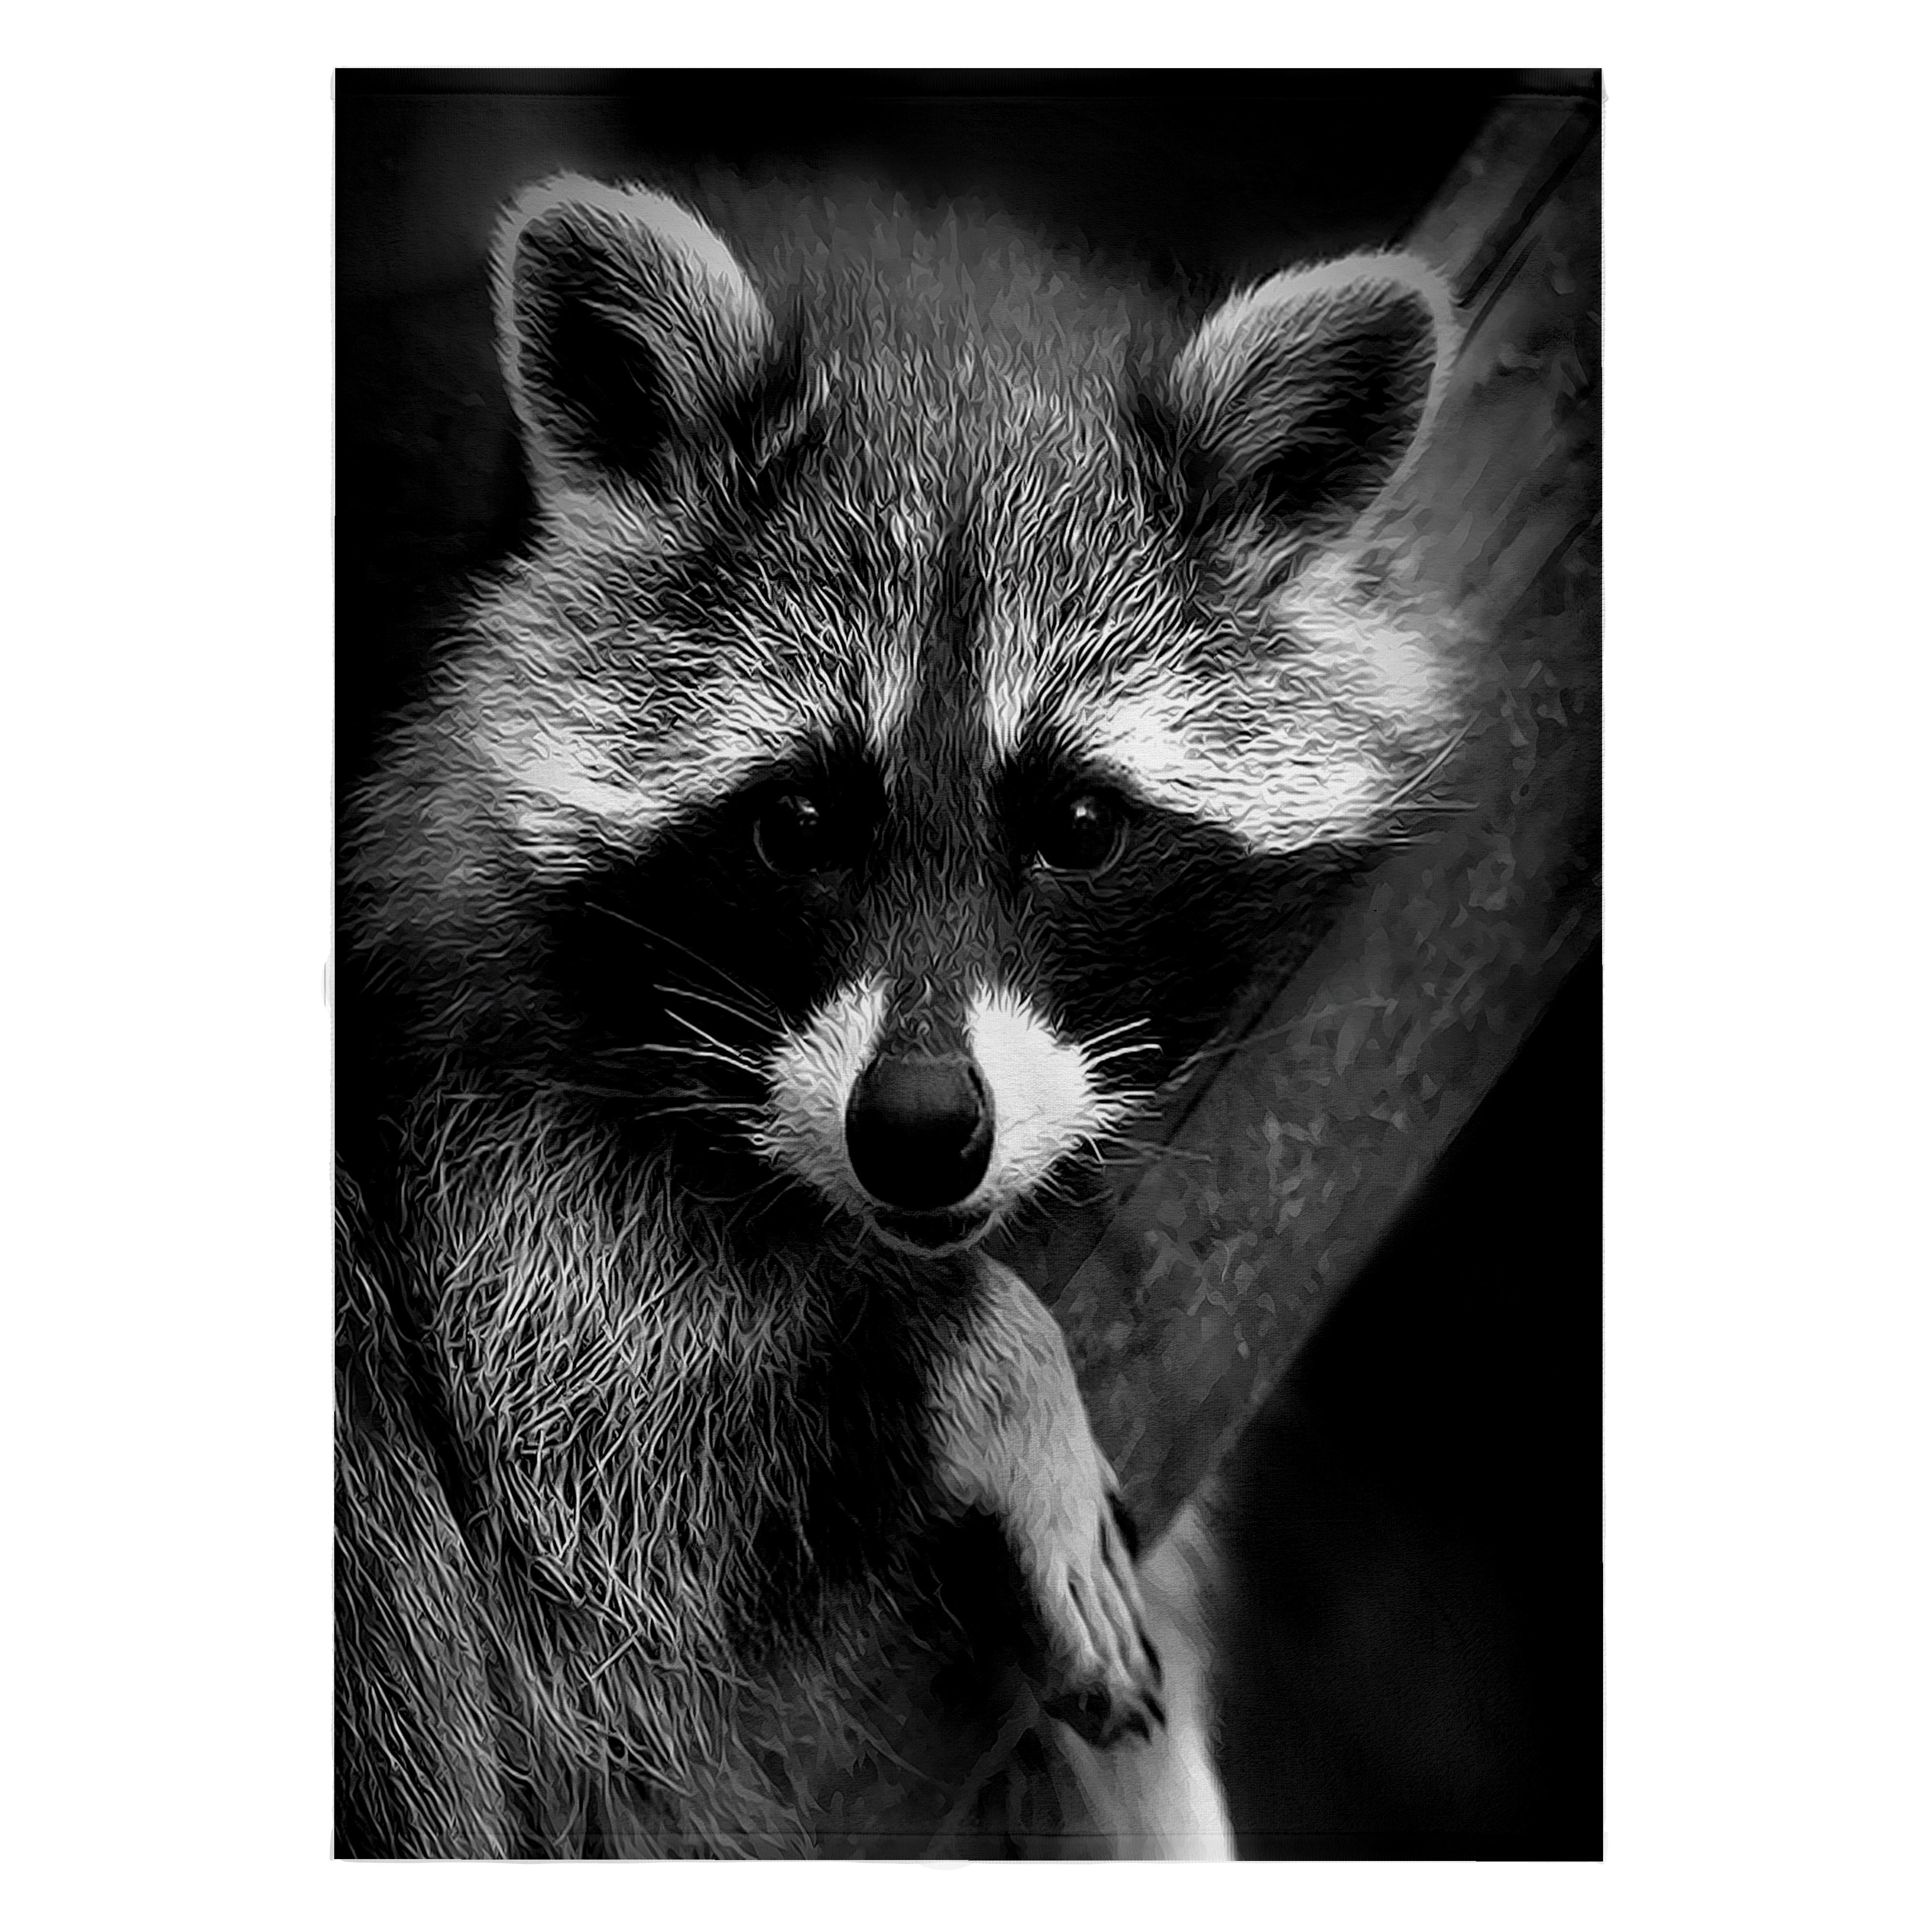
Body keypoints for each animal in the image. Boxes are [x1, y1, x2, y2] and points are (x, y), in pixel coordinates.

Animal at [336, 172, 1460, 1856]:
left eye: (1077, 823)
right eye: (801, 822)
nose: (922, 1130)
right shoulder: (431, 1003)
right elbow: (587, 1389)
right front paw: (977, 1349)